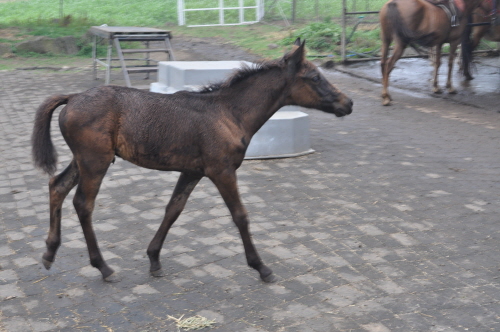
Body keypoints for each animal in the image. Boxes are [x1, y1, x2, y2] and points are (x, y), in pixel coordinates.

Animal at [31, 39, 354, 282]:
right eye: (315, 78)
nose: (347, 103)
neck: (228, 112)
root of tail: (73, 97)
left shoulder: (192, 171)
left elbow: (173, 209)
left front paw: (154, 259)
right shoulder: (222, 170)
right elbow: (240, 215)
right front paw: (261, 267)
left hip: (83, 159)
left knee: (57, 186)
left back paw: (49, 253)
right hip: (95, 161)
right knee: (83, 204)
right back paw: (103, 267)